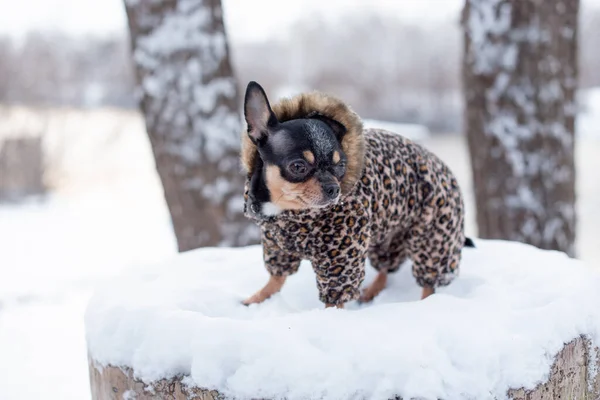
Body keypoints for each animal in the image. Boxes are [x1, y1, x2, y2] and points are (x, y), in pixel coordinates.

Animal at [240, 79, 474, 308]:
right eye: (298, 166)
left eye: (341, 166)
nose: (334, 188)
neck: (284, 212)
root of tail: (446, 170)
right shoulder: (277, 246)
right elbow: (276, 277)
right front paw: (258, 298)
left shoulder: (339, 258)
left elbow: (335, 296)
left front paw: (329, 316)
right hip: (387, 236)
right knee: (385, 268)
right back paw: (371, 292)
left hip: (433, 238)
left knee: (429, 280)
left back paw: (425, 304)